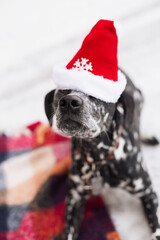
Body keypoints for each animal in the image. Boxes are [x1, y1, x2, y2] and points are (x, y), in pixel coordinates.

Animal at [44, 69, 160, 240]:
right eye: (63, 90)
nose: (69, 102)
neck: (99, 158)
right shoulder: (74, 199)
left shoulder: (148, 193)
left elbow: (156, 230)